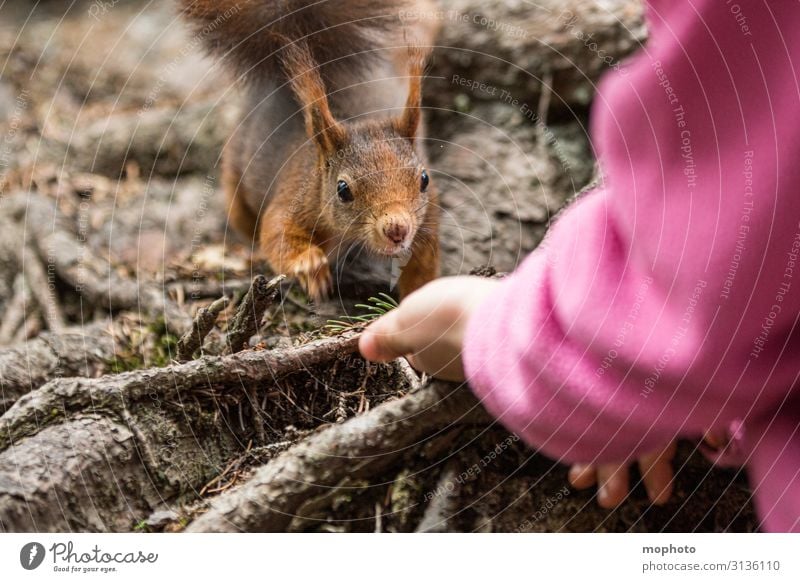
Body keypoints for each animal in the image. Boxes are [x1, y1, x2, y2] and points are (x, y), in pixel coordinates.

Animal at [182, 0, 440, 302]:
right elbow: (276, 233)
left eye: (424, 179)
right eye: (343, 189)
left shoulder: (426, 218)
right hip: (236, 181)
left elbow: (422, 262)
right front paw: (310, 266)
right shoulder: (295, 198)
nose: (397, 229)